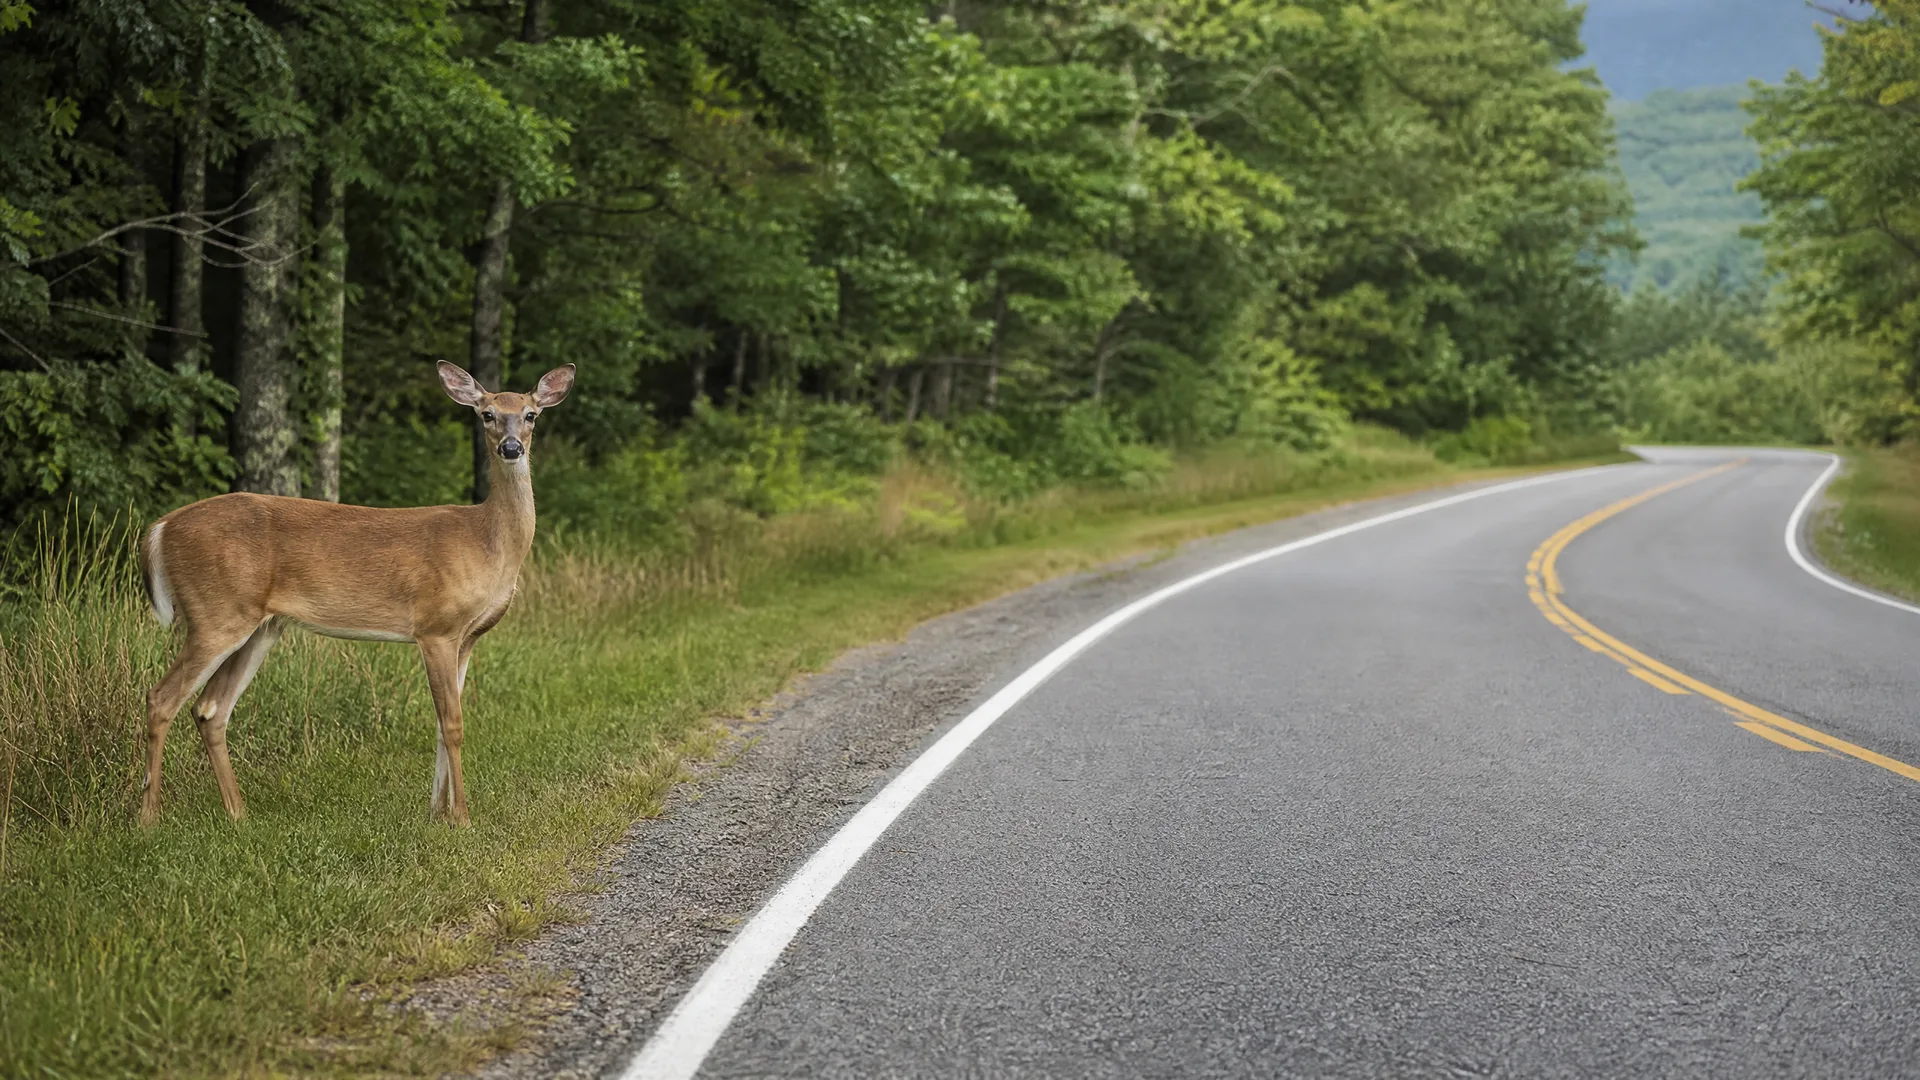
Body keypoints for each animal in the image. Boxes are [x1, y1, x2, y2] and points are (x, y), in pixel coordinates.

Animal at [136, 360, 575, 827]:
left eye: (530, 414)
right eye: (487, 414)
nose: (511, 448)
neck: (488, 543)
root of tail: (160, 528)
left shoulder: (467, 637)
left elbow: (443, 723)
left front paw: (436, 812)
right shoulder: (436, 627)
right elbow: (452, 723)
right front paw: (462, 818)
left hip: (259, 626)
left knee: (211, 709)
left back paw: (239, 814)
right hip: (215, 613)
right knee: (161, 699)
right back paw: (149, 817)